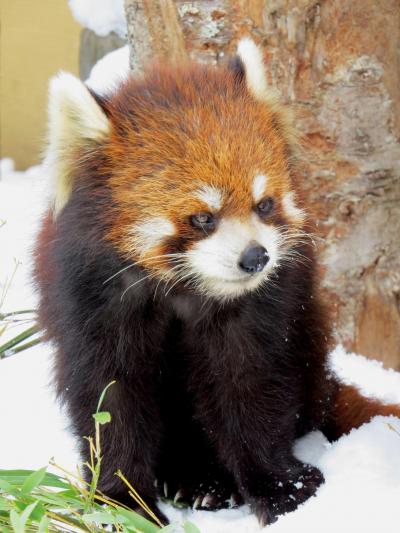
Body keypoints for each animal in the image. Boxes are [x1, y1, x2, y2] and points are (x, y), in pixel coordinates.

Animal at [34, 39, 400, 524]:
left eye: (264, 205)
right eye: (203, 218)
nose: (256, 257)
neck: (185, 289)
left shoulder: (261, 313)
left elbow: (249, 386)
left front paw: (284, 490)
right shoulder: (92, 302)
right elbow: (109, 399)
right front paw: (122, 503)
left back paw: (206, 482)